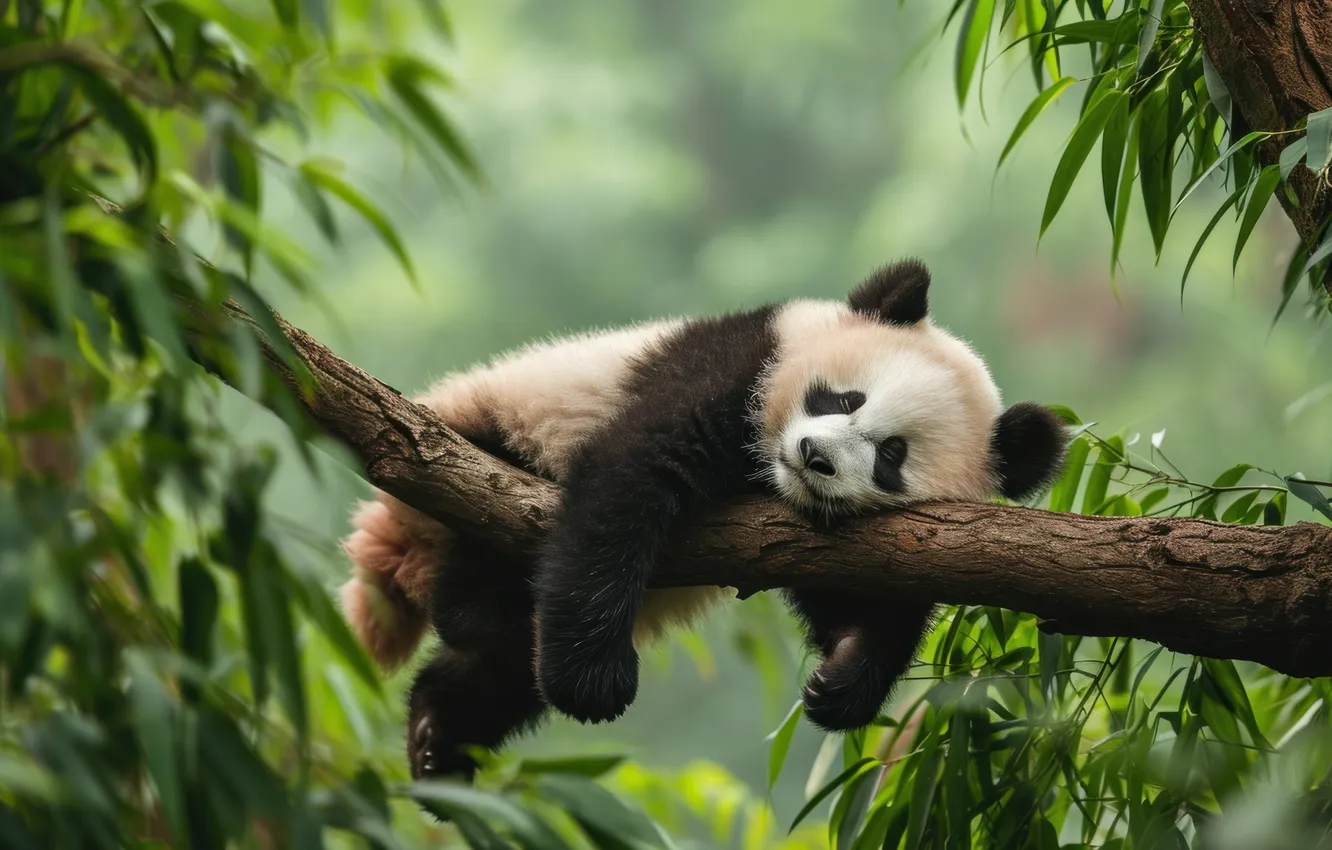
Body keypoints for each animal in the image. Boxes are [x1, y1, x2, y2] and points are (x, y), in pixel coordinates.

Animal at [338, 259, 1067, 782]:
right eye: (841, 398)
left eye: (892, 455)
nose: (815, 457)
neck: (767, 473)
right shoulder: (737, 364)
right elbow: (632, 475)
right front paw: (594, 681)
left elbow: (864, 601)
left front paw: (841, 679)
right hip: (486, 445)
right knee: (485, 562)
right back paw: (474, 617)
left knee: (497, 671)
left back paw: (438, 736)